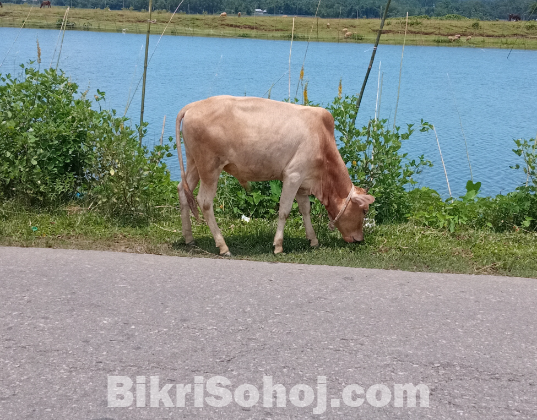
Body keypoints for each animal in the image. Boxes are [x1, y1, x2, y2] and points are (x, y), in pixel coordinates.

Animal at [174, 96, 374, 256]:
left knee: (183, 191)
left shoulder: (303, 181)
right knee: (204, 201)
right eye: (364, 210)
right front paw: (278, 246)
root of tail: (192, 105)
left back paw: (189, 239)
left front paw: (313, 240)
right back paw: (223, 246)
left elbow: (305, 209)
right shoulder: (293, 175)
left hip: (194, 163)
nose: (359, 239)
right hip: (209, 167)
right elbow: (284, 210)